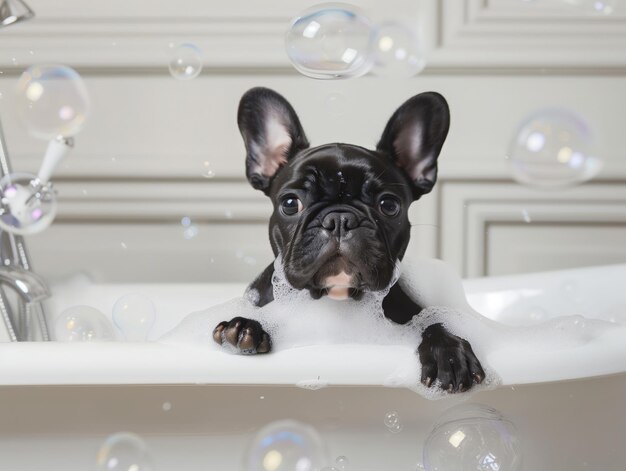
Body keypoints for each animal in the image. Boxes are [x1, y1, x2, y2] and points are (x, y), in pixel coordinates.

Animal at [212, 86, 486, 392]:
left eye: (389, 205)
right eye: (290, 203)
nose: (340, 219)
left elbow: (434, 322)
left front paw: (448, 352)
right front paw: (244, 326)